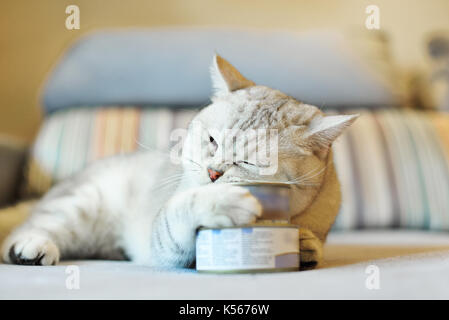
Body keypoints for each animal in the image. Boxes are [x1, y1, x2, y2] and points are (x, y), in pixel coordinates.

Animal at [0, 55, 356, 270]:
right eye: (212, 140)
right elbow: (182, 211)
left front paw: (305, 245)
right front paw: (222, 202)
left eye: (249, 162)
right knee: (24, 230)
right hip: (78, 205)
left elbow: (313, 244)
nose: (213, 173)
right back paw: (30, 248)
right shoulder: (165, 240)